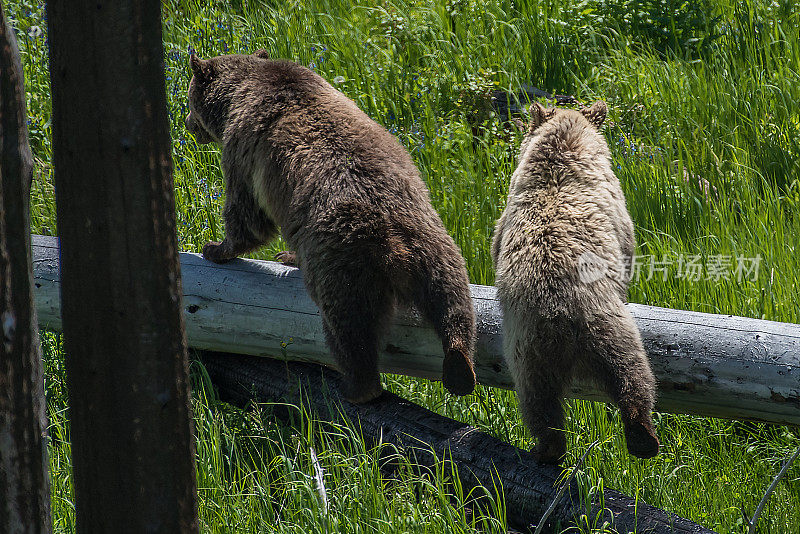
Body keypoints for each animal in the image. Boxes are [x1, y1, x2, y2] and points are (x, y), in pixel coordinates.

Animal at [187, 51, 476, 402]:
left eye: (189, 100)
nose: (187, 124)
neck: (236, 97)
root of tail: (396, 246)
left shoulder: (243, 148)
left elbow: (247, 212)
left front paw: (216, 247)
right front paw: (284, 255)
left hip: (342, 262)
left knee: (349, 327)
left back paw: (355, 387)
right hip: (437, 245)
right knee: (454, 303)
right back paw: (460, 369)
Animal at [490, 102, 660, 466]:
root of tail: (560, 316)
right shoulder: (617, 212)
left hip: (533, 351)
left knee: (541, 402)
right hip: (601, 326)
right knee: (632, 375)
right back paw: (640, 438)